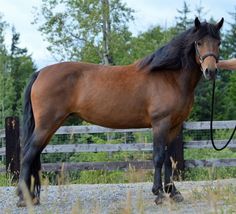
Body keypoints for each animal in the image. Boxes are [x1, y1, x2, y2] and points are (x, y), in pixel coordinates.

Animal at [17, 17, 224, 206]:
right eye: (198, 42)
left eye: (219, 42)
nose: (210, 71)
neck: (169, 77)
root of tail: (40, 73)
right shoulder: (160, 124)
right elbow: (158, 157)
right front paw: (158, 193)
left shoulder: (174, 127)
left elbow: (169, 160)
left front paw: (173, 193)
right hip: (47, 125)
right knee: (27, 155)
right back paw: (24, 198)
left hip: (50, 126)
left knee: (33, 154)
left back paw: (31, 197)